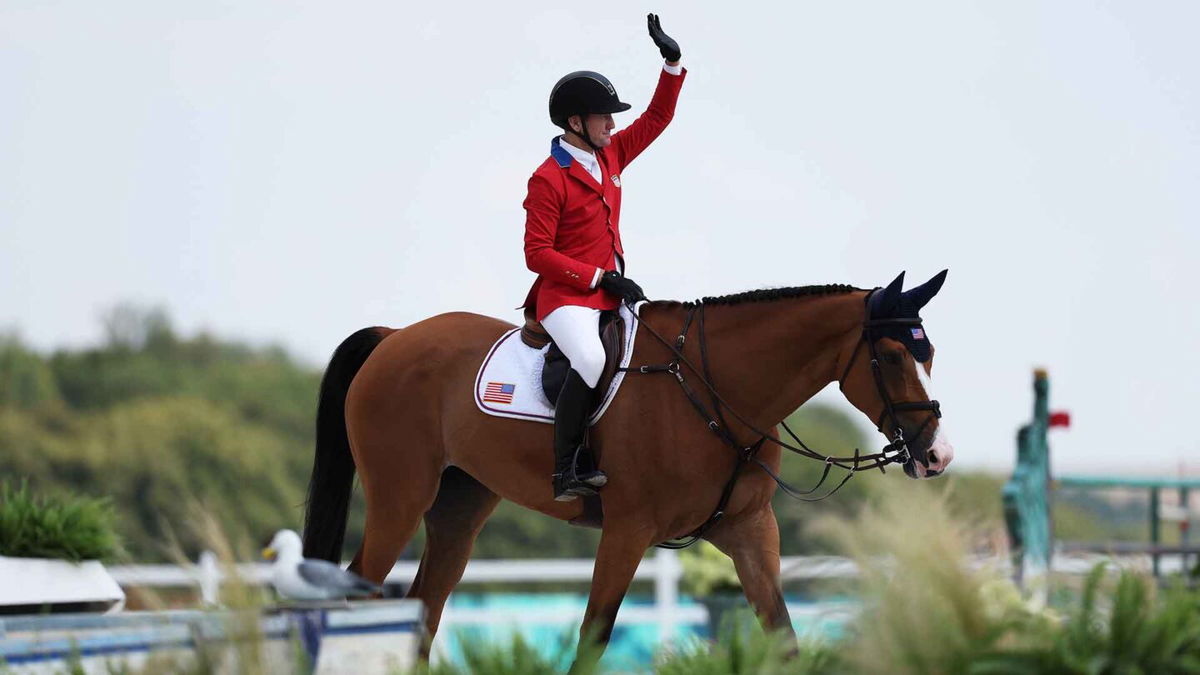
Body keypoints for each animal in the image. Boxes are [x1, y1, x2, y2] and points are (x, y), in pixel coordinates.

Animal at [302, 269, 955, 662]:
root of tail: (395, 337)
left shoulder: (750, 532)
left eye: (927, 353)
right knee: (359, 597)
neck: (715, 390)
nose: (937, 455)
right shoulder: (627, 530)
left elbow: (783, 636)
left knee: (423, 610)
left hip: (459, 508)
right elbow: (594, 636)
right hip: (399, 497)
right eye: (892, 356)